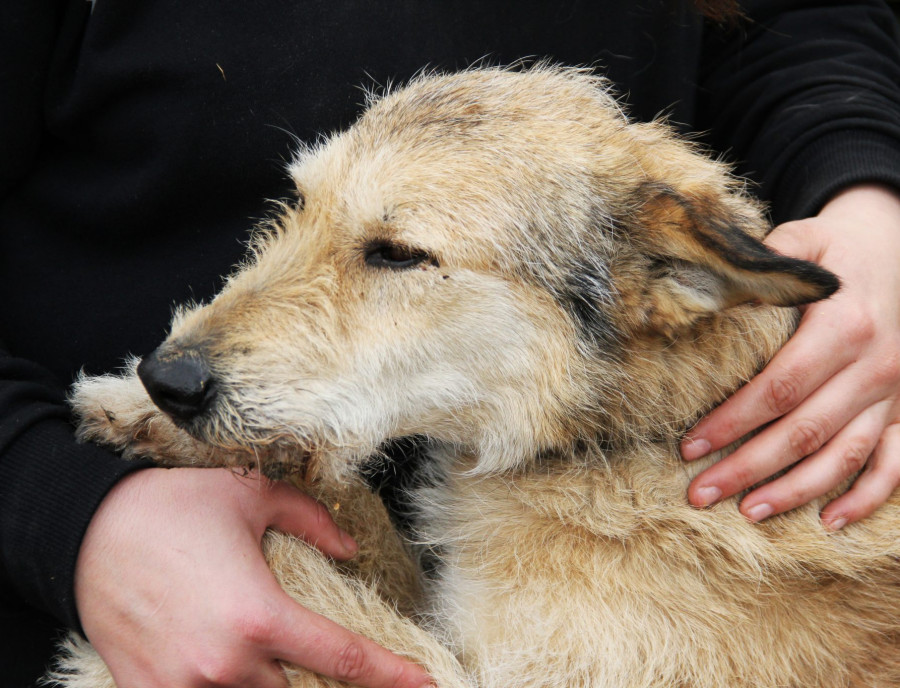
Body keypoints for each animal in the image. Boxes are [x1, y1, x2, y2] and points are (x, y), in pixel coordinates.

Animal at [51, 68, 900, 688]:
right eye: (301, 204)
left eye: (398, 253)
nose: (168, 378)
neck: (641, 442)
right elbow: (349, 515)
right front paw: (140, 414)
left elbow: (310, 582)